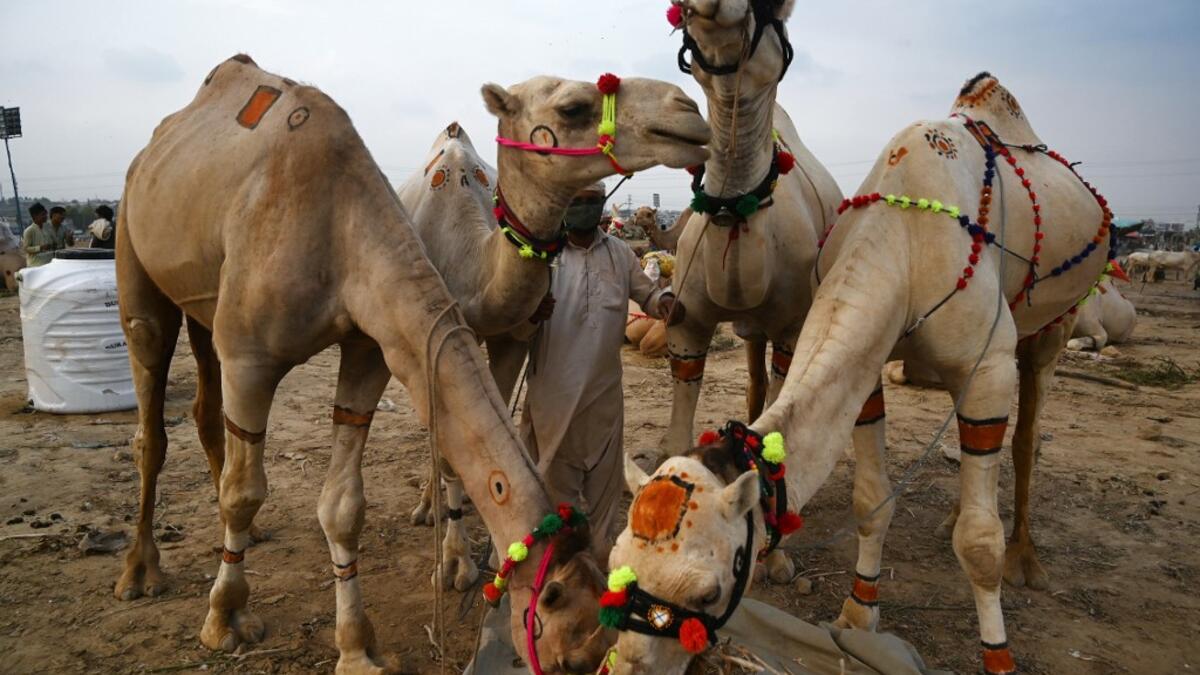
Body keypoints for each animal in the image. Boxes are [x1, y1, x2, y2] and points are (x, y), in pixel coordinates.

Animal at [398, 71, 711, 588]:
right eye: (572, 108)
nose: (688, 108)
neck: (470, 265)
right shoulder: (429, 339)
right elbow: (449, 448)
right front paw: (455, 561)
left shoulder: (510, 338)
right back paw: (427, 506)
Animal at [607, 72, 1118, 675]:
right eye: (617, 561)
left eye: (707, 593)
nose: (625, 664)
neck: (907, 242)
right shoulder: (870, 368)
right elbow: (871, 500)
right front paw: (856, 615)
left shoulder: (988, 365)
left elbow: (979, 542)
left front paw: (998, 656)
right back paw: (949, 517)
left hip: (1055, 325)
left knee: (1027, 436)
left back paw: (1027, 560)